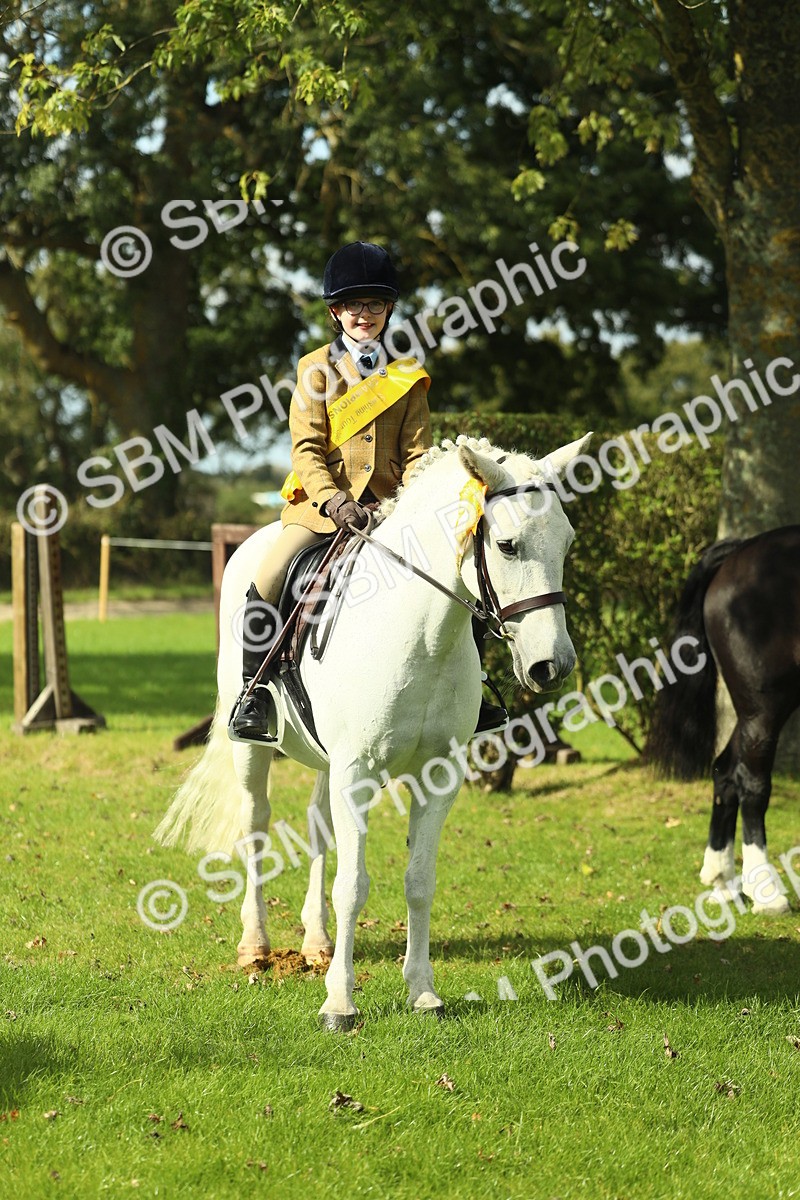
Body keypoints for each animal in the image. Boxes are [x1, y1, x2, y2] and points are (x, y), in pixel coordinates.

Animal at [155, 434, 590, 1028]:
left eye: (566, 544)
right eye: (507, 545)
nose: (554, 666)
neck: (422, 634)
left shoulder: (436, 777)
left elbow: (419, 882)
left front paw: (423, 992)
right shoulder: (356, 772)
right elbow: (353, 886)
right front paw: (340, 1003)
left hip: (326, 761)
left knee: (317, 828)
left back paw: (316, 942)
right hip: (253, 749)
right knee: (256, 826)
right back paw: (256, 946)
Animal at [647, 526, 800, 914]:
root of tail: (741, 551)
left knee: (725, 770)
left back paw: (723, 881)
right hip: (764, 705)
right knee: (752, 782)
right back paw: (766, 892)